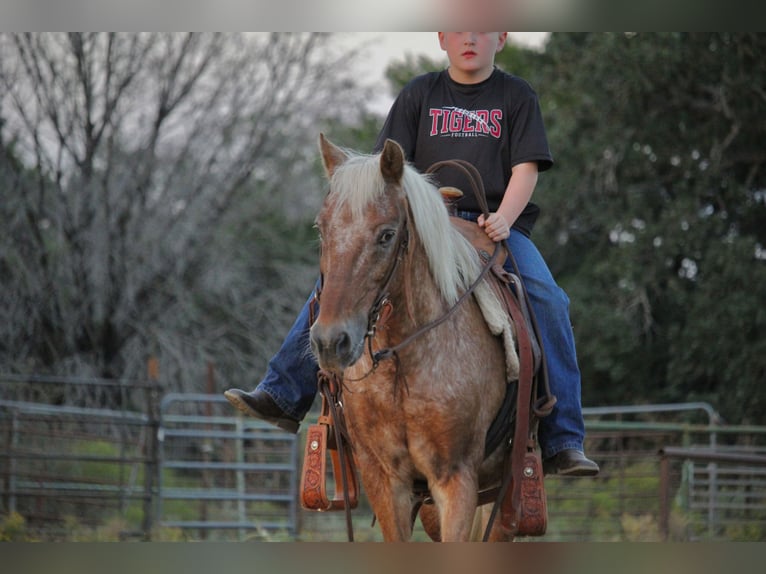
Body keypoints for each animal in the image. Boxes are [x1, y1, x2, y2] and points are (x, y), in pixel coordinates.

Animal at [309, 134, 519, 542]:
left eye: (387, 235)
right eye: (322, 230)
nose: (330, 342)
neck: (404, 362)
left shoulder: (456, 479)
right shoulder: (384, 478)